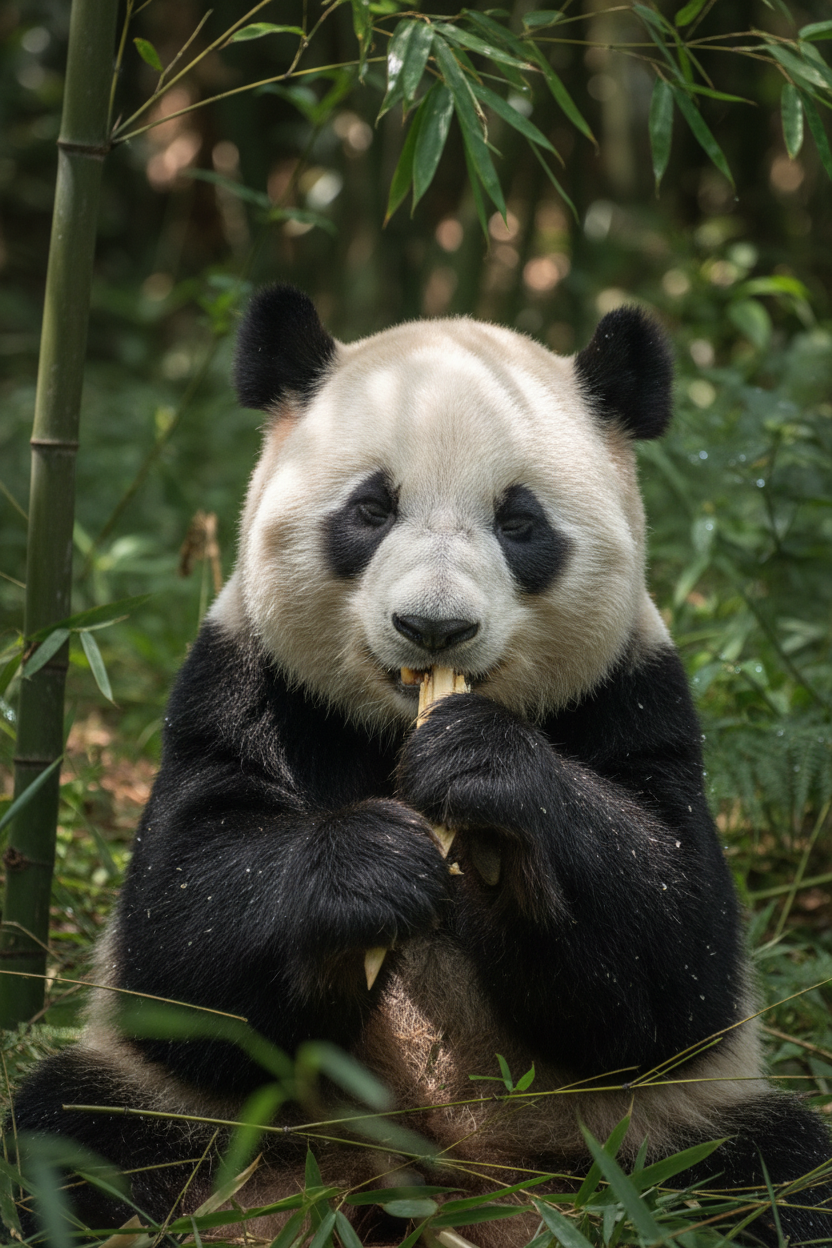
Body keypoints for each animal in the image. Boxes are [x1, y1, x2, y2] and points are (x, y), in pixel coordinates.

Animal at [13, 285, 832, 1243]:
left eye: (518, 521)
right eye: (372, 510)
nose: (433, 627)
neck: (395, 730)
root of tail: (435, 1185)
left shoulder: (636, 691)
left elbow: (676, 959)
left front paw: (484, 769)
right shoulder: (243, 680)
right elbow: (178, 942)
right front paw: (371, 865)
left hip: (635, 1140)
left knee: (772, 1172)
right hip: (226, 1133)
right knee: (80, 1133)